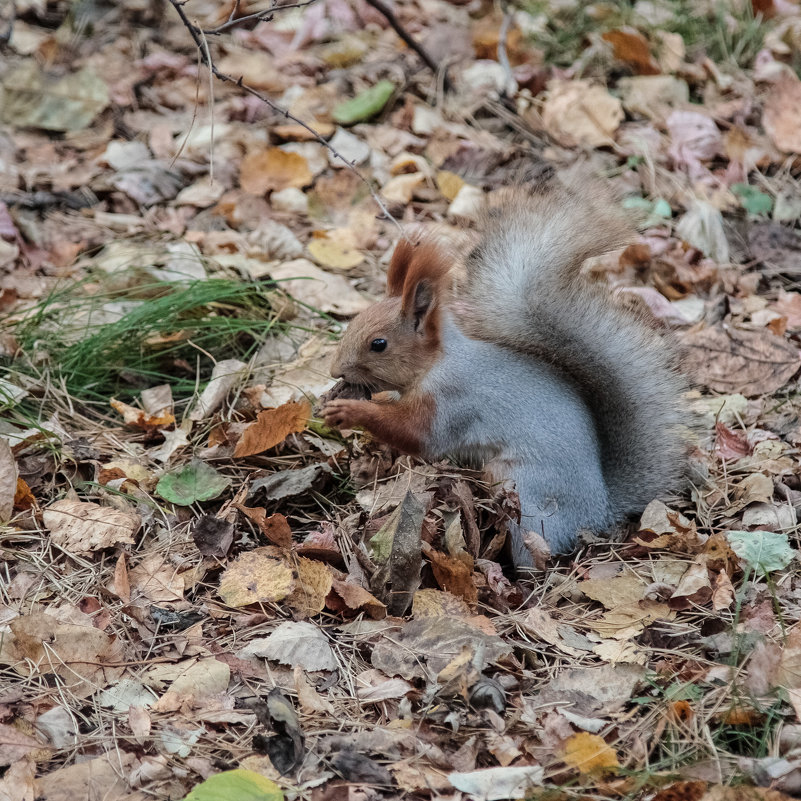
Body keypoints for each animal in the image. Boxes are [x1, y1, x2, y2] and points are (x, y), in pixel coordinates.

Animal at [322, 173, 684, 568]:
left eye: (379, 344)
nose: (335, 370)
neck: (439, 361)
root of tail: (598, 512)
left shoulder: (453, 399)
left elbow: (417, 435)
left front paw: (350, 410)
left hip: (527, 494)